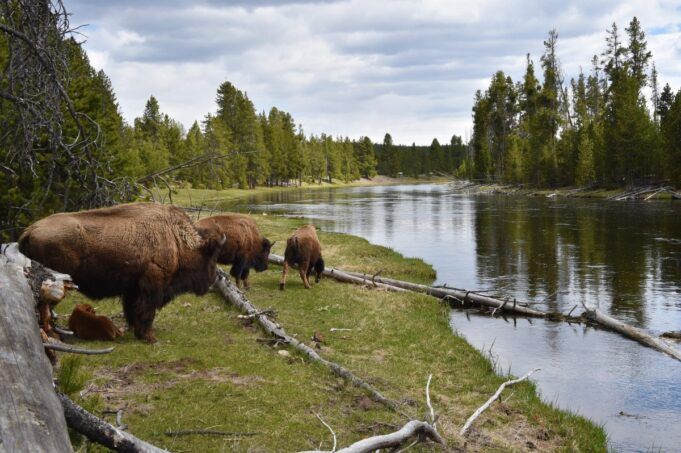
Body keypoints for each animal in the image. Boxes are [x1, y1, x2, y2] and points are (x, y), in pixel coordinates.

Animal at [18, 203, 225, 343]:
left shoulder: (133, 289)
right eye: (212, 257)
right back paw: (54, 335)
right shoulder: (152, 285)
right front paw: (149, 337)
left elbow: (132, 310)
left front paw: (136, 331)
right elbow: (147, 311)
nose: (214, 278)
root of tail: (30, 230)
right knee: (44, 310)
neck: (175, 237)